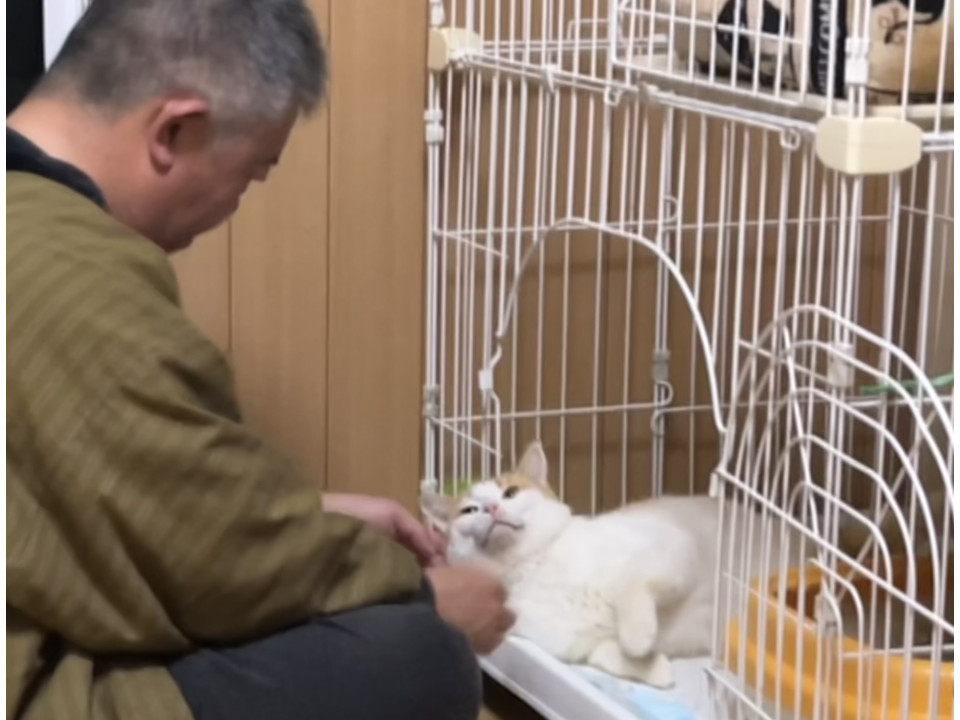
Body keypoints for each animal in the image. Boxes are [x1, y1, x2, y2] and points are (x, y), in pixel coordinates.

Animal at [420, 441, 807, 688]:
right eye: (469, 510)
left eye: (510, 493)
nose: (491, 508)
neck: (535, 567)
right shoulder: (577, 648)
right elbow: (605, 655)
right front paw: (654, 667)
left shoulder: (673, 545)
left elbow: (629, 588)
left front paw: (638, 637)